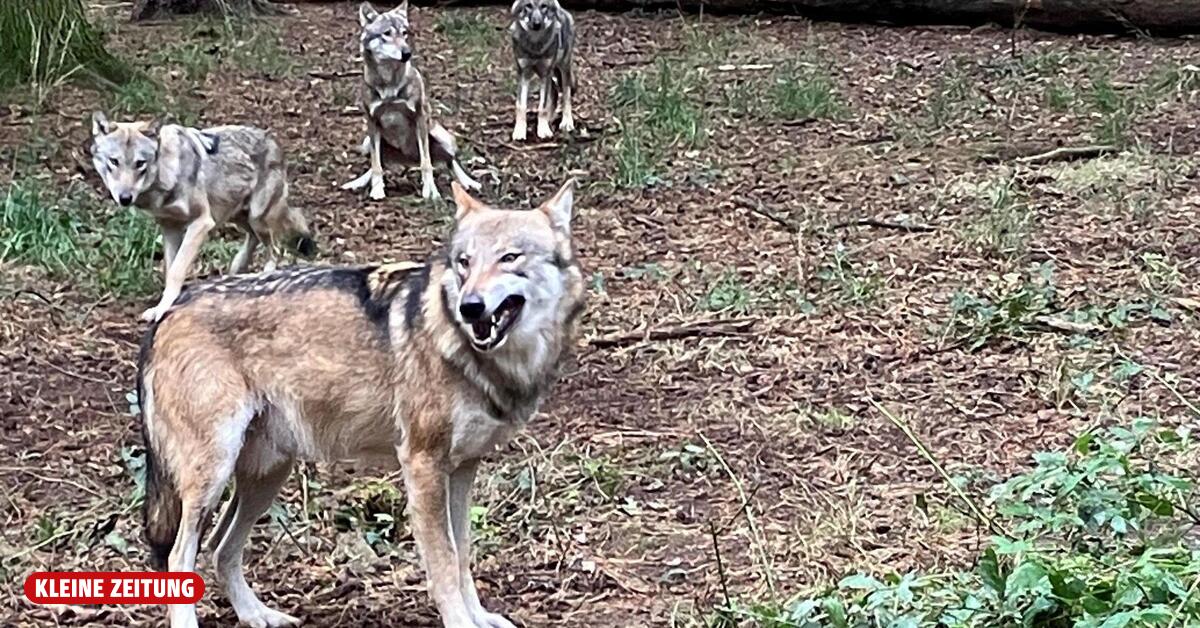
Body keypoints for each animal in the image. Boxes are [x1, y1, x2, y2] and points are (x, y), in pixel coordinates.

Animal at [90, 112, 315, 322]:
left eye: (140, 164)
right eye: (114, 162)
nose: (125, 198)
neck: (167, 173)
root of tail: (272, 139)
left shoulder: (201, 223)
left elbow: (177, 270)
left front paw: (162, 308)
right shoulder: (170, 227)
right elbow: (170, 268)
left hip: (256, 217)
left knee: (275, 249)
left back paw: (264, 276)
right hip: (237, 217)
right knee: (254, 240)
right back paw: (237, 268)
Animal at [136, 180, 584, 628]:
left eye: (510, 257)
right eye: (464, 263)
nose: (470, 306)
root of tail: (170, 309)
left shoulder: (462, 469)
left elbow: (462, 555)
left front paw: (479, 618)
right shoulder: (422, 464)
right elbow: (443, 564)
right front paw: (460, 622)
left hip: (267, 475)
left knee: (219, 546)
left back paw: (257, 614)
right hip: (213, 474)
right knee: (179, 555)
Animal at [342, 1, 481, 201]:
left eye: (404, 33)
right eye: (387, 33)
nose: (407, 53)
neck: (389, 84)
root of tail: (408, 160)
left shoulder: (420, 118)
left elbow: (426, 163)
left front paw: (431, 192)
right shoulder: (372, 121)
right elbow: (376, 166)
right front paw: (377, 190)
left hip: (441, 137)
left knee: (450, 161)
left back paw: (469, 182)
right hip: (368, 142)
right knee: (378, 163)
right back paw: (358, 182)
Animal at [509, 0, 576, 141]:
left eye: (544, 6)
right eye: (528, 6)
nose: (537, 24)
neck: (535, 46)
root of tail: (563, 10)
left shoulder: (546, 73)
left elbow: (543, 106)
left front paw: (543, 130)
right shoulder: (523, 74)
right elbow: (521, 106)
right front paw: (519, 131)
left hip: (563, 68)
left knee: (566, 95)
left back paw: (566, 122)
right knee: (554, 92)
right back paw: (550, 119)